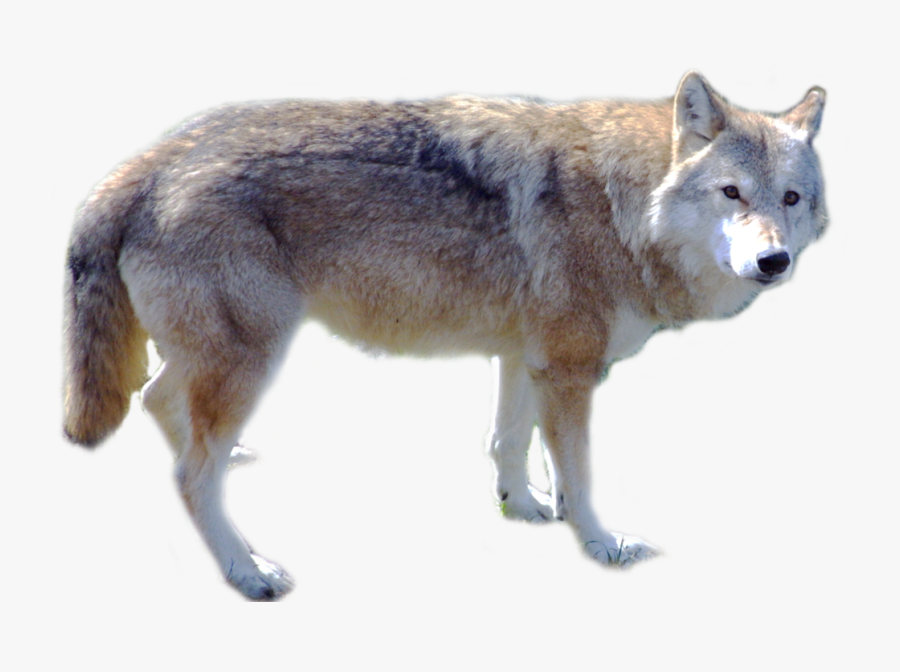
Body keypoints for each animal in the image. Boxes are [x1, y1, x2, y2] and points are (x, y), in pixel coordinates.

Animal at [63, 72, 827, 600]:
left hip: (216, 359)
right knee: (191, 474)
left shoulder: (526, 357)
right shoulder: (570, 371)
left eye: (791, 199)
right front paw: (600, 544)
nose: (774, 262)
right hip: (254, 355)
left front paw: (523, 509)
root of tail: (145, 163)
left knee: (161, 404)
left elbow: (509, 443)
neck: (624, 206)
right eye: (731, 193)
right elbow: (577, 476)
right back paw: (248, 571)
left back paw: (232, 466)